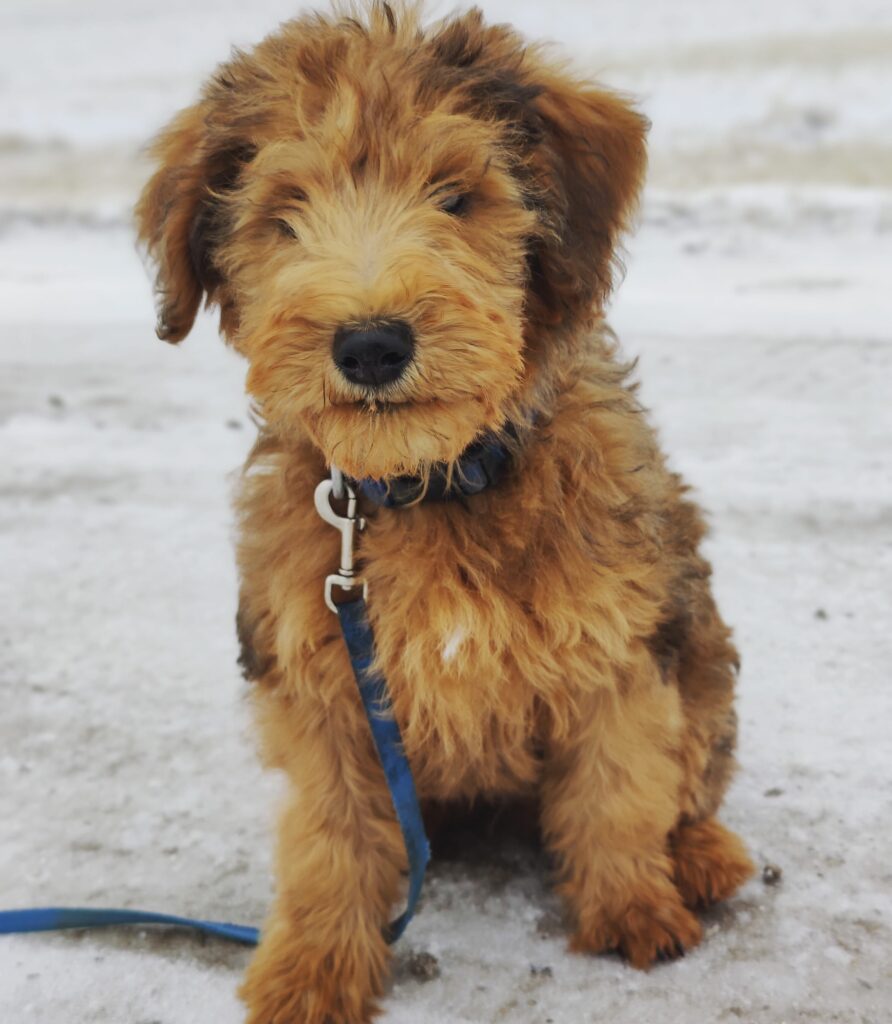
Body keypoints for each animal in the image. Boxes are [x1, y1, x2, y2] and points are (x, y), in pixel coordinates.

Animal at [136, 4, 757, 1019]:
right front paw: (313, 967)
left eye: (457, 196)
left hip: (700, 647)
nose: (371, 344)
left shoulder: (619, 647)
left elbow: (622, 787)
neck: (434, 479)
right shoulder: (322, 679)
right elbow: (329, 839)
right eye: (285, 212)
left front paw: (630, 907)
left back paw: (701, 856)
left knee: (693, 777)